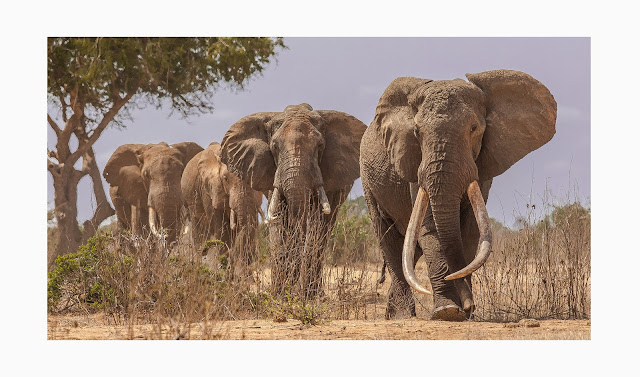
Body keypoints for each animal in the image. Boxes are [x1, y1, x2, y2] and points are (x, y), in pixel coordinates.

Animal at [222, 103, 368, 300]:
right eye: (274, 147)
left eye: (320, 146)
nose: (295, 293)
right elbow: (279, 220)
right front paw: (280, 296)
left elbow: (318, 223)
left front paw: (308, 297)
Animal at [362, 70, 556, 320]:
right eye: (416, 132)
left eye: (474, 128)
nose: (469, 306)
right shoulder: (415, 166)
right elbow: (430, 229)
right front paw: (447, 312)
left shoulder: (482, 165)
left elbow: (472, 230)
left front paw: (465, 313)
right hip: (369, 182)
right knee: (391, 243)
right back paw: (402, 316)